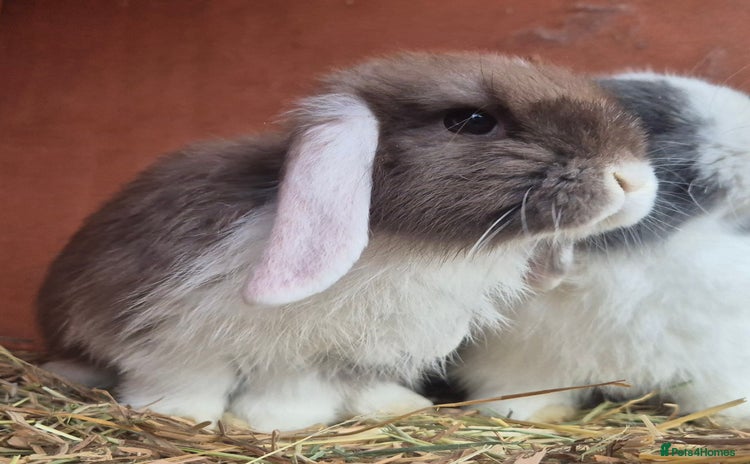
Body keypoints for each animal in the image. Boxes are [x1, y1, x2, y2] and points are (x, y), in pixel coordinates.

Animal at [36, 52, 658, 432]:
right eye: (473, 120)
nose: (630, 178)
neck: (405, 245)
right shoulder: (176, 331)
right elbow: (189, 378)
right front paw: (207, 419)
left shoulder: (338, 352)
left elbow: (329, 383)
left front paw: (367, 409)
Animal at [454, 72, 750, 425]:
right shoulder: (514, 362)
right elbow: (519, 391)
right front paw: (527, 414)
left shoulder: (720, 360)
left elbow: (721, 392)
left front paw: (738, 416)